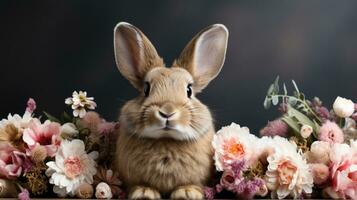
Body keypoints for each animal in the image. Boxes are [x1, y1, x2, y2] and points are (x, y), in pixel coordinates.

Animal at [112, 21, 227, 199]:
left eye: (189, 90)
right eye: (146, 89)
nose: (167, 112)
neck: (166, 138)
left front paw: (187, 192)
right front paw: (143, 192)